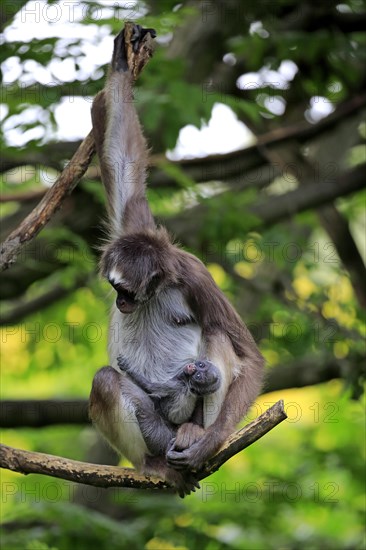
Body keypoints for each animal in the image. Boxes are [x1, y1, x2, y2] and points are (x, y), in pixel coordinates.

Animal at [90, 22, 264, 500]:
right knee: (107, 381)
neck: (156, 289)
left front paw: (209, 442)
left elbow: (250, 358)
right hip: (153, 432)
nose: (121, 304)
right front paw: (122, 61)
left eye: (127, 292)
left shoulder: (195, 276)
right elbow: (123, 160)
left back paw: (193, 435)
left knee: (218, 339)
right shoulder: (131, 229)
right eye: (115, 290)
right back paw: (155, 463)